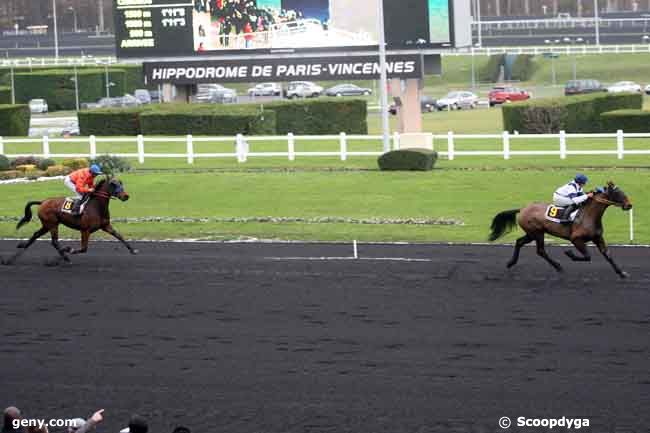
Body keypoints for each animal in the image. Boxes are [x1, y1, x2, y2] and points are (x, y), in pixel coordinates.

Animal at [3, 175, 137, 264]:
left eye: (121, 183)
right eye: (113, 184)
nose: (125, 196)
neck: (96, 207)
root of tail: (43, 202)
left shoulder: (105, 226)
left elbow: (119, 236)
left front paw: (133, 250)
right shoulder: (85, 230)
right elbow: (83, 249)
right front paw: (69, 249)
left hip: (47, 225)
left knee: (36, 235)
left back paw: (14, 255)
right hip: (52, 224)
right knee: (54, 242)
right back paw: (65, 257)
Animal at [488, 181, 632, 276]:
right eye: (618, 193)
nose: (629, 205)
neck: (589, 215)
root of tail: (522, 209)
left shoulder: (597, 237)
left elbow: (607, 254)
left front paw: (621, 273)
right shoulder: (576, 239)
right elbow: (587, 256)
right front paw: (569, 253)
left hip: (532, 233)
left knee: (519, 242)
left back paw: (511, 263)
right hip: (536, 233)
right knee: (540, 250)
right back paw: (558, 266)